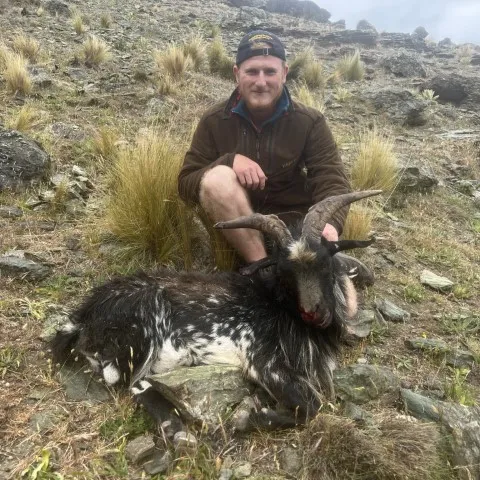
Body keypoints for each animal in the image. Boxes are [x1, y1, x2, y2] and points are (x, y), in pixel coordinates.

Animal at [51, 189, 382, 430]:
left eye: (326, 261)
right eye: (285, 272)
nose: (313, 311)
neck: (278, 306)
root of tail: (84, 314)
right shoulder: (263, 360)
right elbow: (312, 406)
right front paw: (248, 417)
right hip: (141, 332)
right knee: (125, 382)